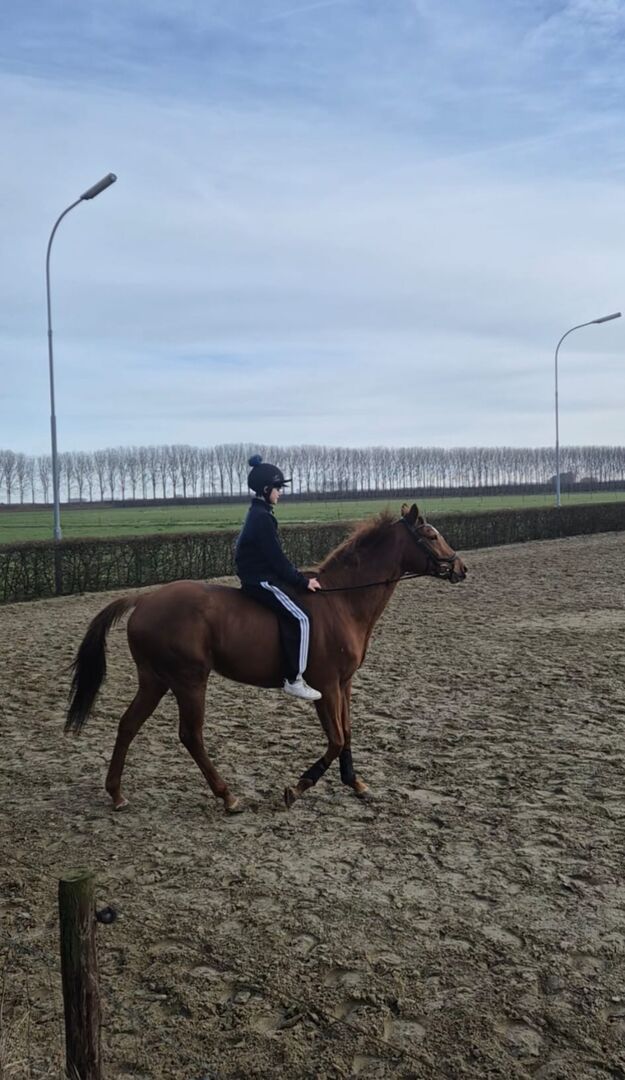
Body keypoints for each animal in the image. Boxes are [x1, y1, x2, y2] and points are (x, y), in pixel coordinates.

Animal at [66, 502, 467, 814]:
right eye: (431, 535)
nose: (461, 568)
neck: (341, 600)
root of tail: (144, 599)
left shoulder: (344, 683)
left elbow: (348, 732)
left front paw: (356, 783)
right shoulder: (325, 686)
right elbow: (336, 738)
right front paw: (298, 787)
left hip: (156, 680)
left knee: (128, 725)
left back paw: (117, 794)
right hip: (189, 680)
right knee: (190, 735)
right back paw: (227, 796)